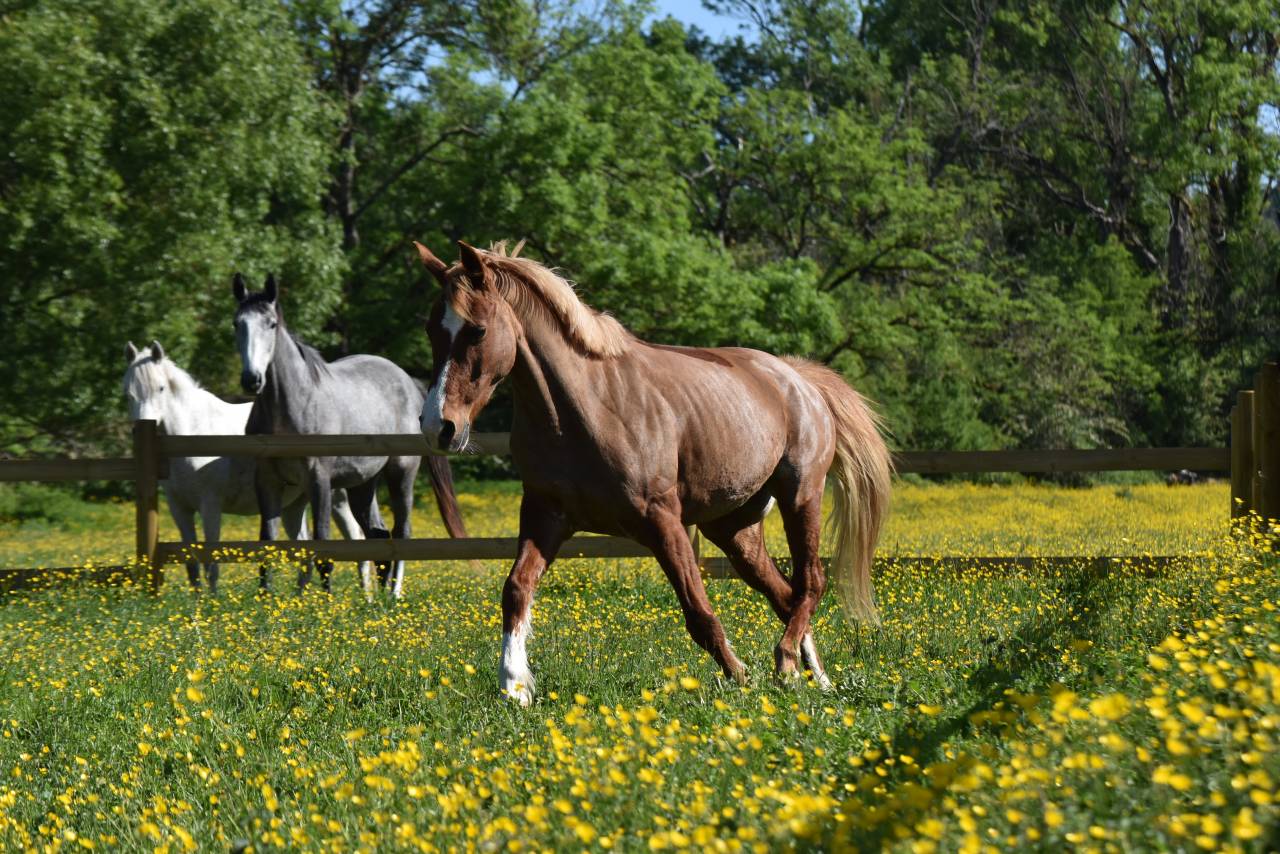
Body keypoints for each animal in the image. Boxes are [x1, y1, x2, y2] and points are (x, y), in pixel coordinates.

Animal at [122, 340, 376, 594]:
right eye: (128, 392)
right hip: (294, 504)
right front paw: (197, 603)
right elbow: (191, 564)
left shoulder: (210, 506)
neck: (194, 433)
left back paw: (366, 596)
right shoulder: (179, 508)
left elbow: (211, 562)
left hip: (335, 498)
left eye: (161, 388)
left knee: (357, 539)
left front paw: (211, 601)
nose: (138, 430)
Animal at [233, 273, 451, 598]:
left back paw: (393, 595)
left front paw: (325, 603)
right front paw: (265, 599)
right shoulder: (268, 482)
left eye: (271, 324)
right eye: (237, 323)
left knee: (402, 531)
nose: (252, 380)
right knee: (378, 534)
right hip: (363, 485)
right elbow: (267, 544)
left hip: (401, 473)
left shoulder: (319, 482)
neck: (295, 404)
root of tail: (408, 382)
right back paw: (377, 599)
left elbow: (323, 545)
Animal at [413, 240, 892, 705]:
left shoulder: (662, 520)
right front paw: (513, 686)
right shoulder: (545, 516)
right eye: (432, 330)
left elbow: (698, 612)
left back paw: (788, 662)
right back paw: (809, 677)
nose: (439, 427)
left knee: (811, 582)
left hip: (801, 496)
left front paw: (740, 677)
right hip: (735, 529)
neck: (585, 409)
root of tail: (799, 379)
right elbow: (515, 588)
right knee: (786, 593)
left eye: (476, 329)